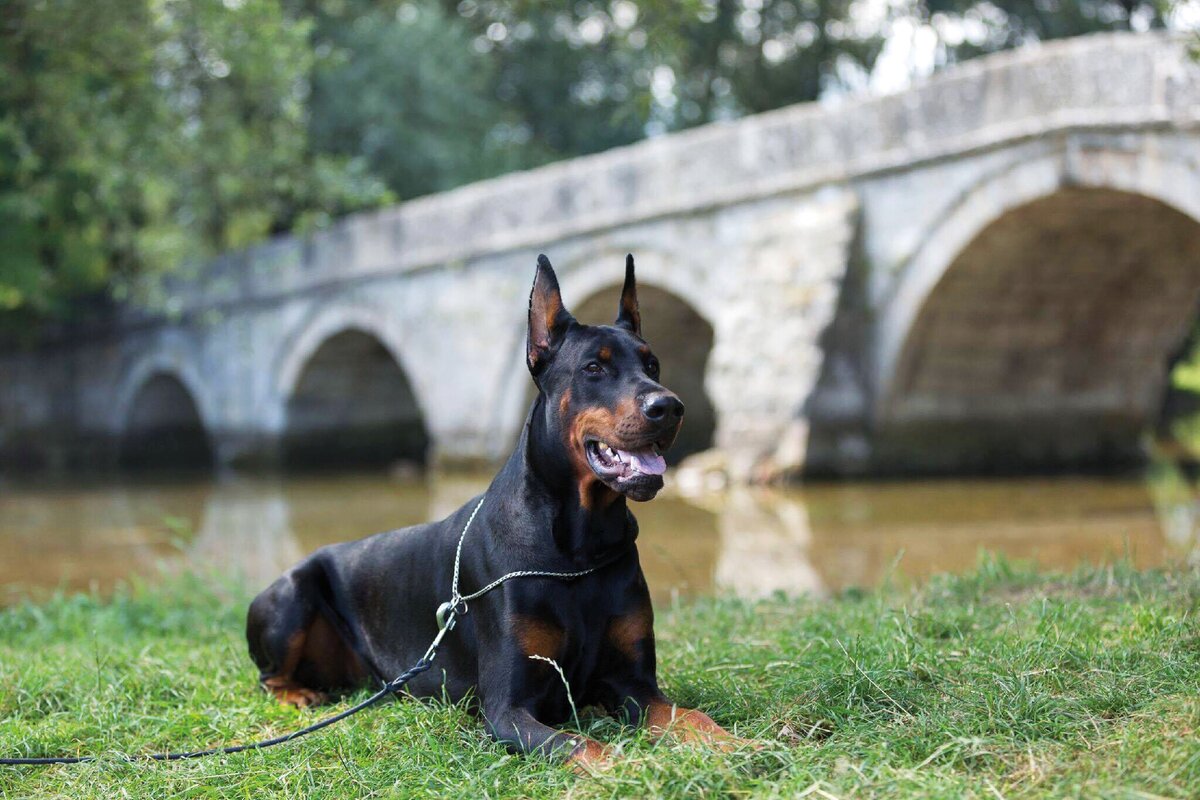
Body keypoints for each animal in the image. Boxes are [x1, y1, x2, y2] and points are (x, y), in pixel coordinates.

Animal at [243, 253, 739, 767]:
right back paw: (298, 693)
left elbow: (692, 717)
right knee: (267, 677)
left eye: (652, 363)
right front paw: (633, 769)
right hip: (290, 595)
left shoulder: (634, 685)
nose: (670, 406)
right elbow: (585, 746)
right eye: (593, 368)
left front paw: (740, 745)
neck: (579, 549)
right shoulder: (507, 708)